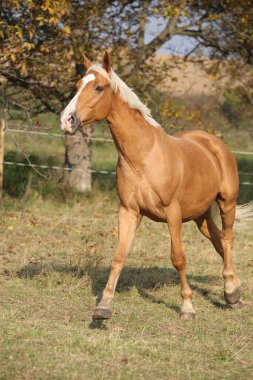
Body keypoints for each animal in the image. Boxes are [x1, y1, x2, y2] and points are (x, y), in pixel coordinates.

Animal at [59, 49, 243, 320]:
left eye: (99, 87)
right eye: (78, 85)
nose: (67, 120)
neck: (143, 157)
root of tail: (214, 142)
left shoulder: (172, 213)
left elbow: (178, 258)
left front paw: (187, 308)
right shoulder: (128, 211)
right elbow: (119, 257)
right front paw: (103, 306)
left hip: (226, 202)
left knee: (228, 239)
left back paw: (230, 291)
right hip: (200, 215)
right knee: (219, 242)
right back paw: (235, 293)